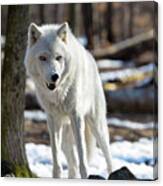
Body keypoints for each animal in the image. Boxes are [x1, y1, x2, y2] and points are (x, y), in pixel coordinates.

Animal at [24, 22, 112, 179]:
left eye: (59, 57)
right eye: (42, 58)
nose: (55, 76)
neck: (58, 94)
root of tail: (92, 58)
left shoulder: (76, 117)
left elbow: (82, 155)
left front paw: (86, 175)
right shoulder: (52, 120)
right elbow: (55, 154)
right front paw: (56, 174)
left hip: (97, 126)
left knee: (107, 155)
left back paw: (113, 172)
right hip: (66, 137)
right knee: (72, 164)